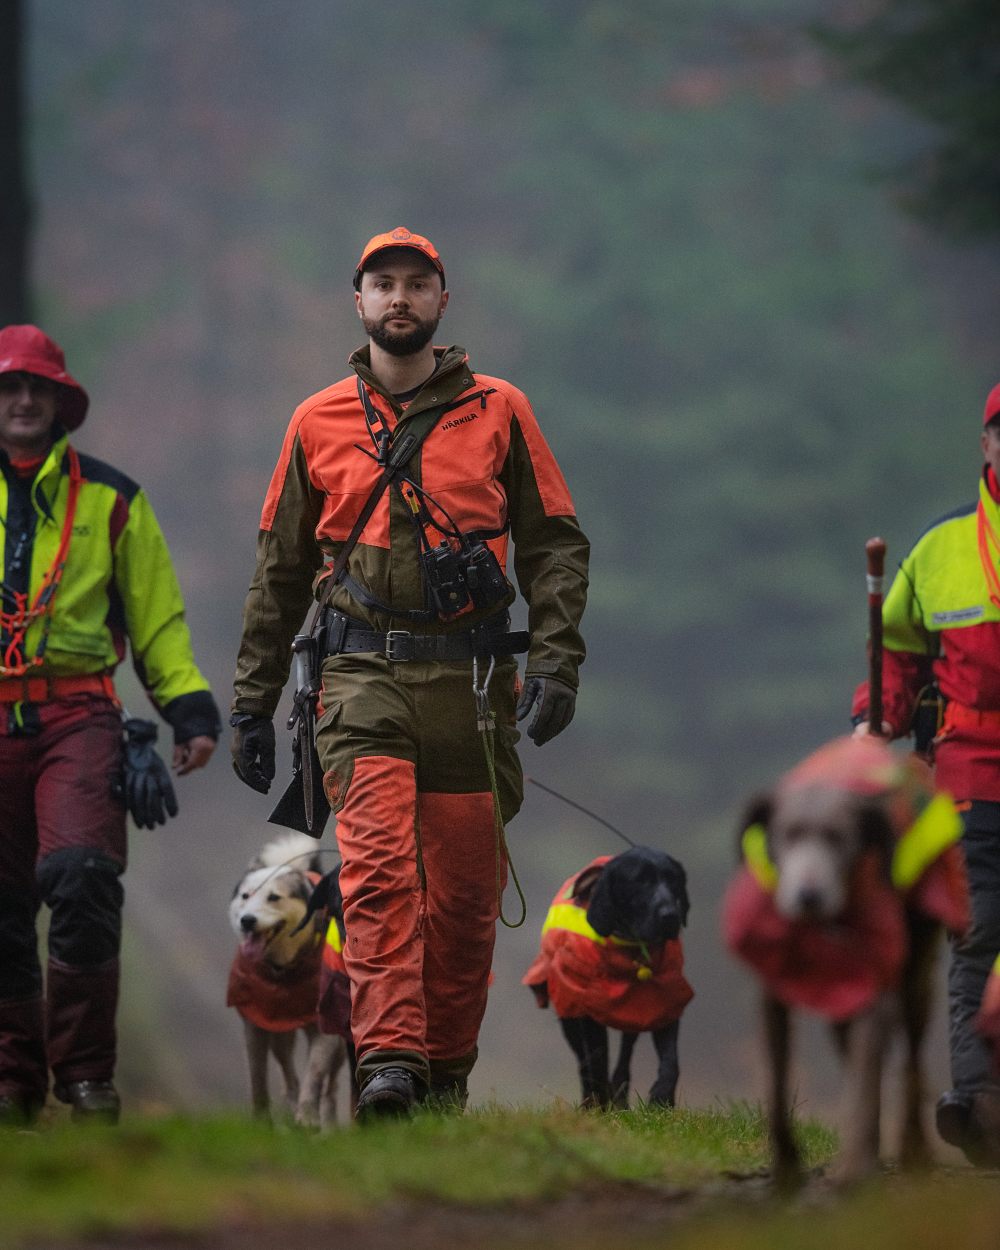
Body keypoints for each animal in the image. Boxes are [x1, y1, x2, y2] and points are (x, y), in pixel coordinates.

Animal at [227, 835, 347, 1130]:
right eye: (245, 896)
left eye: (274, 897)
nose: (247, 921)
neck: (283, 970)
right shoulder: (255, 1026)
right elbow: (258, 1076)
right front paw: (261, 1122)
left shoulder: (326, 1031)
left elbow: (315, 1074)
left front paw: (309, 1118)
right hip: (281, 1033)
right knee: (289, 1075)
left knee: (331, 1086)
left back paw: (327, 1123)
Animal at [522, 845, 695, 1110]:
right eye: (640, 881)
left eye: (673, 879)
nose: (670, 915)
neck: (631, 949)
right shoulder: (585, 1011)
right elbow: (596, 1059)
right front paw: (598, 1105)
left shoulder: (665, 1001)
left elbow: (670, 1061)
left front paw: (661, 1098)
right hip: (570, 1018)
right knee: (585, 1061)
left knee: (625, 1054)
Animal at [725, 735, 970, 1185]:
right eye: (787, 834)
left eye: (840, 838)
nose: (808, 896)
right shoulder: (771, 996)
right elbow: (776, 1081)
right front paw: (786, 1167)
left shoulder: (878, 986)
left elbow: (868, 1076)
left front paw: (856, 1166)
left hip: (916, 978)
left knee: (909, 1060)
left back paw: (912, 1149)